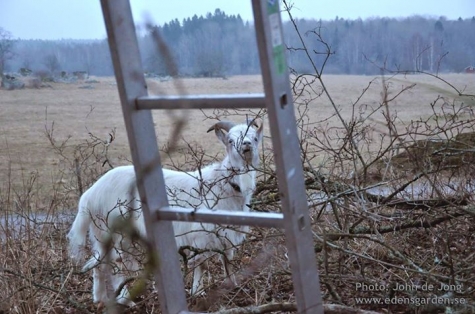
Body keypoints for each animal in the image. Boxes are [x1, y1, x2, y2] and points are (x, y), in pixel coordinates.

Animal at [67, 119, 264, 306]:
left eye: (255, 138)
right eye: (230, 140)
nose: (246, 145)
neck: (223, 184)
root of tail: (90, 195)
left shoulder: (226, 234)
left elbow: (227, 259)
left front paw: (232, 286)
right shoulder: (201, 234)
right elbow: (201, 263)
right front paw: (197, 292)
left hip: (102, 233)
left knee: (100, 262)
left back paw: (100, 298)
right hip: (113, 229)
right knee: (116, 262)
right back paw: (125, 300)